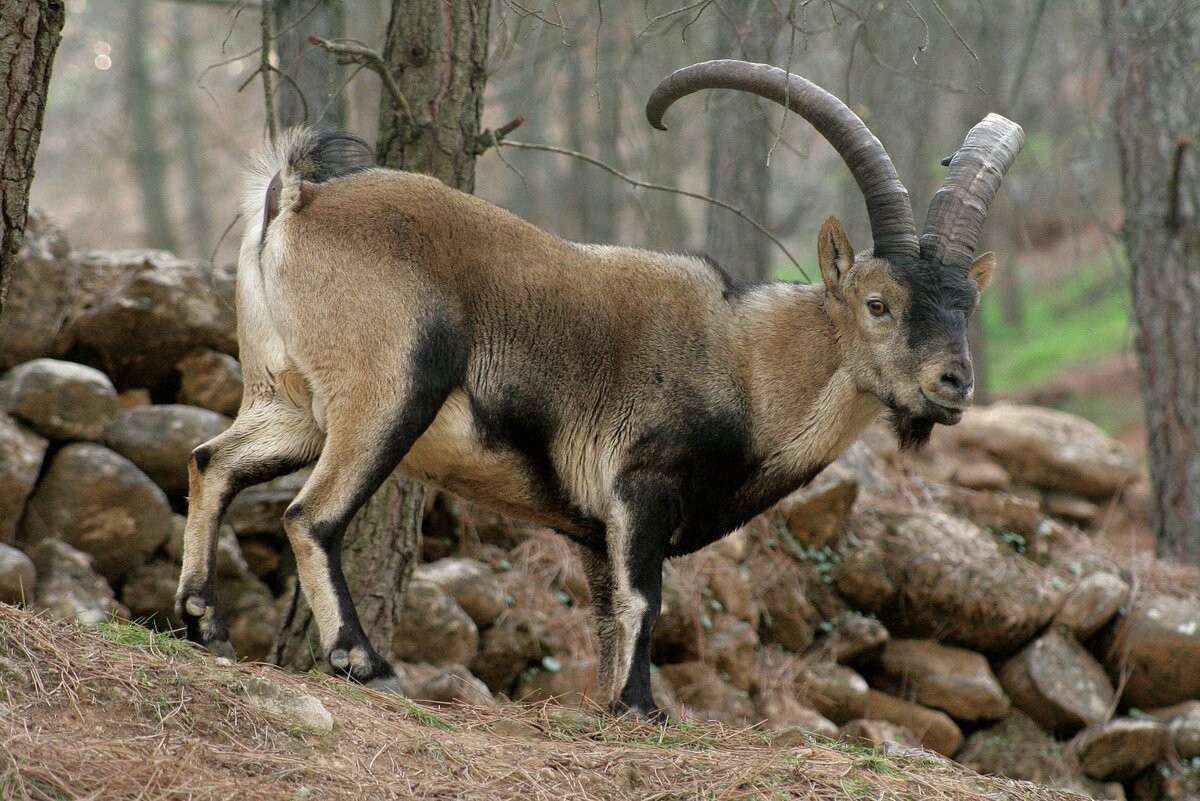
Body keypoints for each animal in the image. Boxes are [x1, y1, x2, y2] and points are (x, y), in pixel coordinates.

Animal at [177, 59, 1022, 714]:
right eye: (879, 302)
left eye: (967, 306)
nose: (954, 380)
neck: (747, 361)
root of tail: (294, 198)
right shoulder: (642, 483)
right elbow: (645, 598)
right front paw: (642, 707)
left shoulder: (590, 526)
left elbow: (610, 612)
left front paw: (611, 703)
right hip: (386, 394)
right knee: (309, 514)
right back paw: (366, 662)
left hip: (288, 401)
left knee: (211, 461)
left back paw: (203, 624)